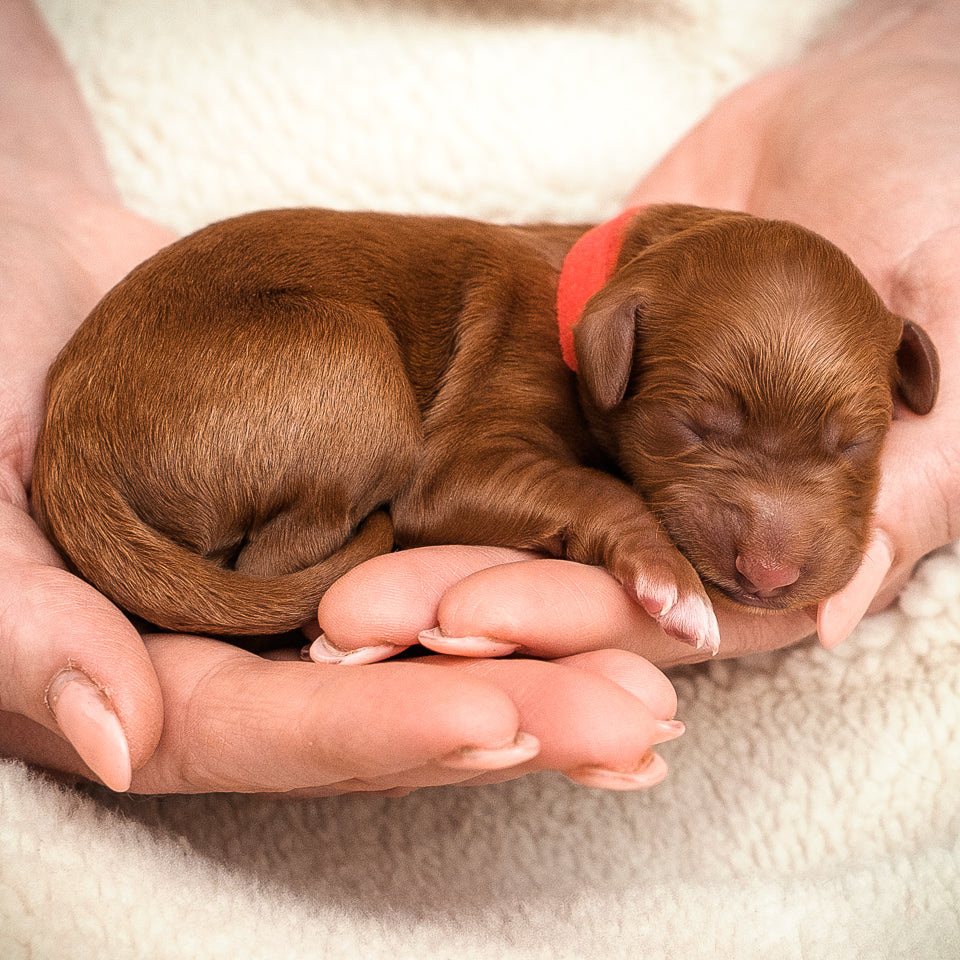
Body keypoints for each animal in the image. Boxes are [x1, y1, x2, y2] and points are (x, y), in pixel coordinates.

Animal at [30, 202, 936, 652]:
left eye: (858, 443)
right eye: (692, 427)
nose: (770, 574)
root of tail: (66, 433)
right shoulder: (467, 450)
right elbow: (594, 487)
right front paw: (668, 581)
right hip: (346, 361)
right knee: (273, 556)